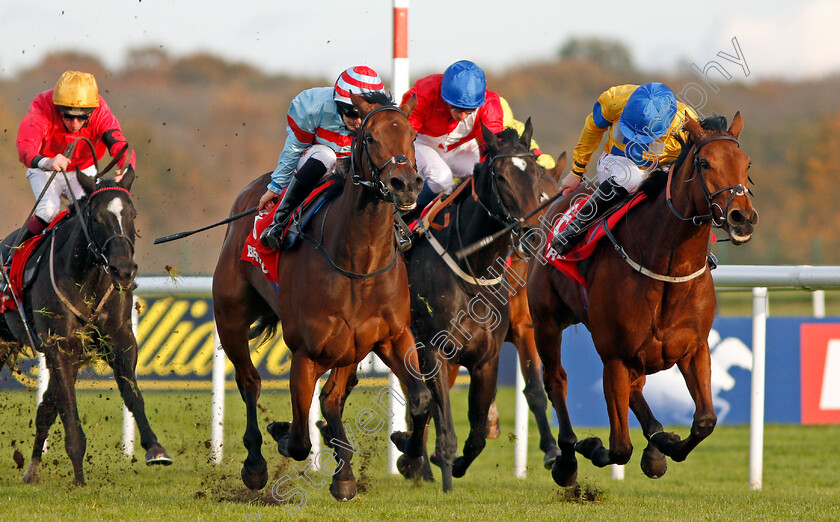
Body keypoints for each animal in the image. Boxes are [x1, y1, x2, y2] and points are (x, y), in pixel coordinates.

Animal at [0, 168, 172, 484]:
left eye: (132, 214)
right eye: (96, 218)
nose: (123, 270)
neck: (87, 276)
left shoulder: (119, 340)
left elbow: (132, 394)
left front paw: (155, 449)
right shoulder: (59, 346)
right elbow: (69, 410)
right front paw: (79, 477)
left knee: (46, 407)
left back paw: (32, 469)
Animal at [210, 91, 434, 498]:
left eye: (411, 136)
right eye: (370, 138)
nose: (405, 184)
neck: (358, 262)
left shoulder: (390, 336)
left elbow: (421, 398)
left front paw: (406, 455)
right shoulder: (306, 353)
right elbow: (299, 439)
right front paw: (284, 434)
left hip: (350, 347)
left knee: (331, 398)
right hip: (230, 317)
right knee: (250, 381)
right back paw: (256, 464)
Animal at [392, 120, 544, 490]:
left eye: (534, 173)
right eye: (500, 176)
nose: (532, 235)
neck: (472, 269)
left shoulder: (486, 358)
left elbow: (476, 433)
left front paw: (449, 463)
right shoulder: (433, 350)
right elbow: (441, 420)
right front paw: (442, 469)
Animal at [528, 111, 756, 486]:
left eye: (746, 162)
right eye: (705, 163)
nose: (743, 217)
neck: (667, 269)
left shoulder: (694, 348)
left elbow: (705, 421)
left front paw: (664, 446)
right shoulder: (614, 356)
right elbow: (619, 447)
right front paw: (591, 446)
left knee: (637, 388)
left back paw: (655, 442)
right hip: (546, 321)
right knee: (555, 380)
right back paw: (567, 458)